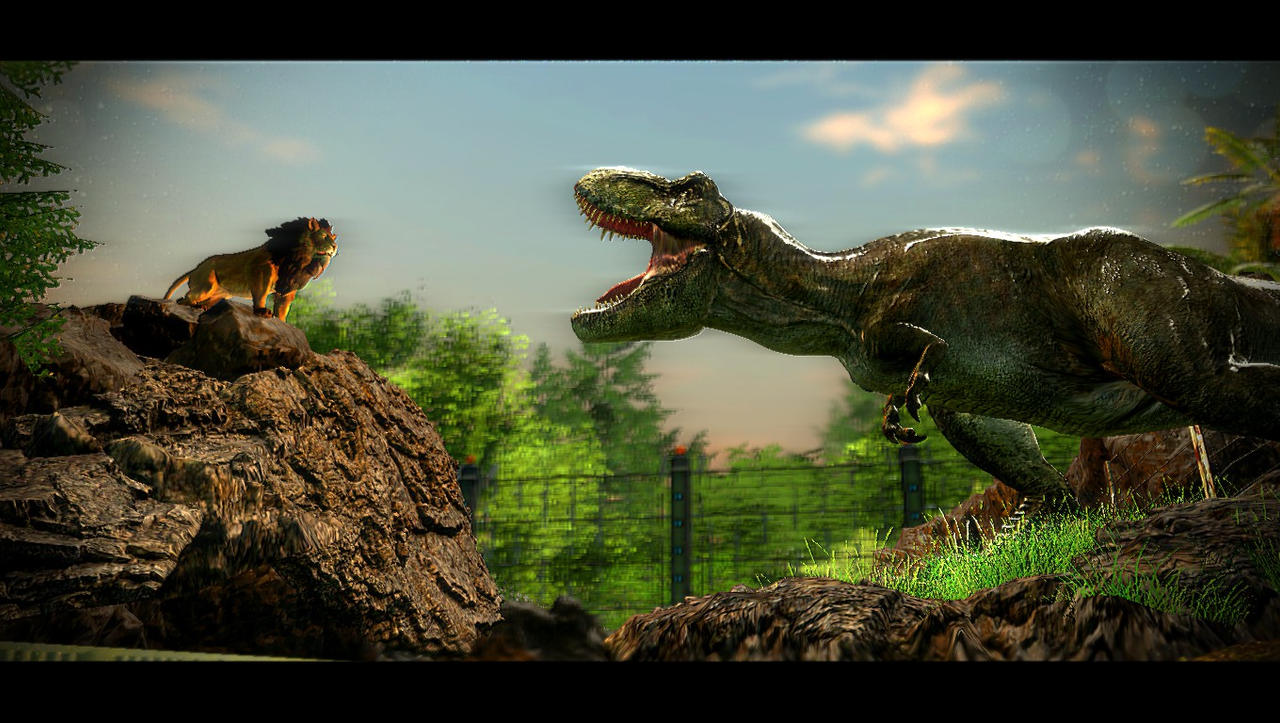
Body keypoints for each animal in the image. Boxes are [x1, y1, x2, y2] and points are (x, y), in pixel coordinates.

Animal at [163, 217, 338, 322]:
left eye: (333, 238)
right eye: (324, 236)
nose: (335, 247)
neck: (297, 261)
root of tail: (195, 268)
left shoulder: (288, 289)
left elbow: (283, 309)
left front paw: (283, 323)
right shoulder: (261, 274)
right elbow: (261, 295)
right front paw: (262, 312)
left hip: (219, 294)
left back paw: (201, 308)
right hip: (206, 285)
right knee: (184, 299)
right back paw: (191, 307)